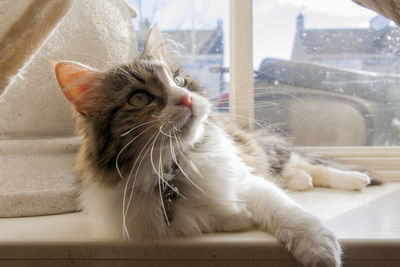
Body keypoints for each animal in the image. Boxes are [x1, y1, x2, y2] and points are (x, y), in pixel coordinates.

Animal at [54, 25, 382, 267]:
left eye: (179, 80)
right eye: (139, 98)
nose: (186, 99)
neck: (173, 168)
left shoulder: (246, 179)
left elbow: (288, 213)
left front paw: (320, 250)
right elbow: (222, 217)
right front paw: (239, 218)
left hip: (267, 152)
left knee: (308, 164)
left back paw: (354, 179)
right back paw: (304, 181)